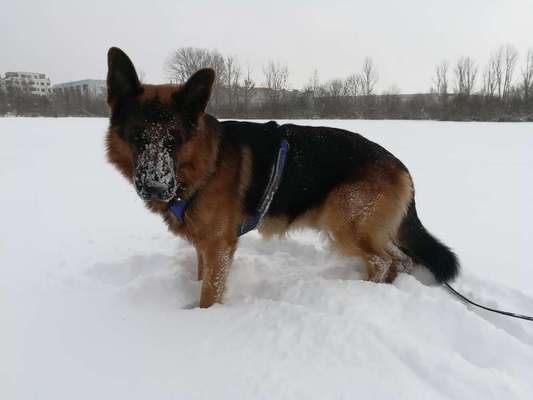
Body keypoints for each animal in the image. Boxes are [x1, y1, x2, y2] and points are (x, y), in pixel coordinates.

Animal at [105, 47, 458, 310]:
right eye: (137, 138)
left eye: (173, 140)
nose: (156, 187)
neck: (206, 162)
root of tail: (400, 165)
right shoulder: (205, 245)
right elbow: (201, 276)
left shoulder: (219, 247)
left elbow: (209, 293)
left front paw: (203, 318)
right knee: (401, 260)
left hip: (344, 225)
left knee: (384, 261)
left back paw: (363, 292)